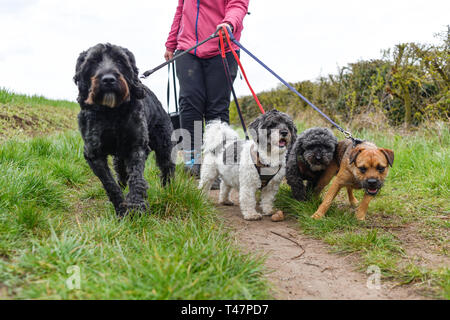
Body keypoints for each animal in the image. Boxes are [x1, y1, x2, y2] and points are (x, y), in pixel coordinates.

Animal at [74, 43, 174, 218]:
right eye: (93, 61)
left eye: (120, 60)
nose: (108, 79)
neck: (111, 113)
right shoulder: (93, 153)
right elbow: (110, 184)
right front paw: (121, 209)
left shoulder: (137, 146)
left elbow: (136, 179)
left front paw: (136, 206)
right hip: (119, 156)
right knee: (121, 173)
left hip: (163, 144)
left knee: (167, 166)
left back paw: (167, 188)